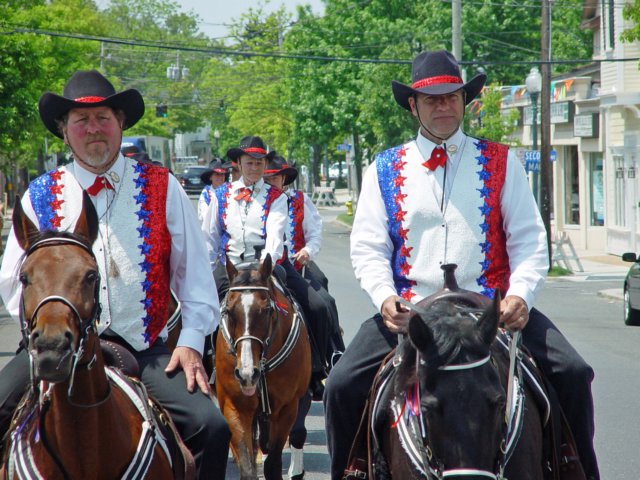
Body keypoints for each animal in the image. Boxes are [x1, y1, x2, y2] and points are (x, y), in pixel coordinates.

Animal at [215, 256, 312, 478]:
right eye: (228, 311)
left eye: (267, 310)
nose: (247, 374)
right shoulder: (234, 406)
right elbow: (247, 467)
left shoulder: (287, 408)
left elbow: (273, 465)